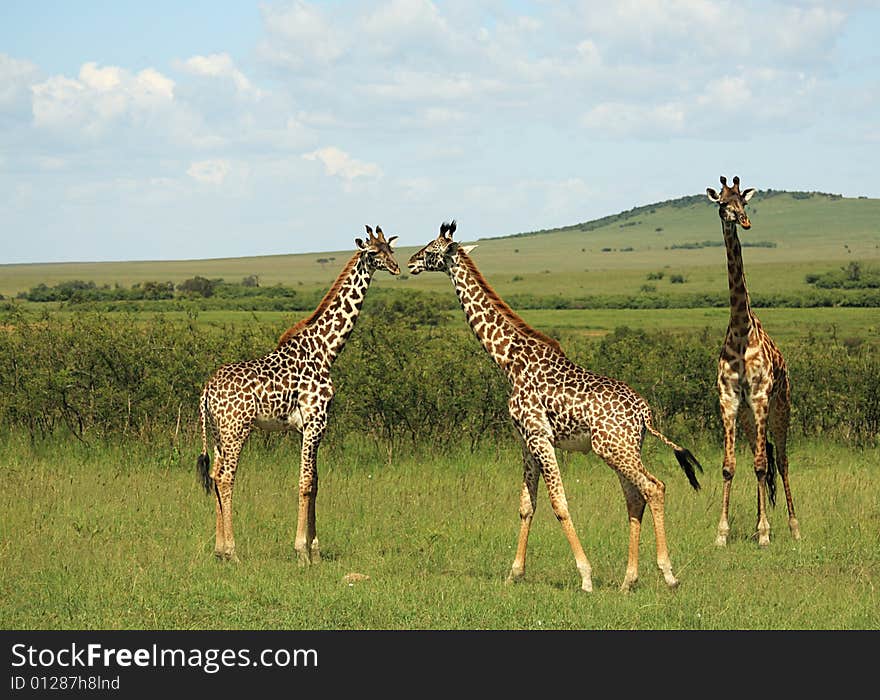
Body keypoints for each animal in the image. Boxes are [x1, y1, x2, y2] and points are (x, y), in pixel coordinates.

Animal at [198, 224, 400, 564]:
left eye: (391, 249)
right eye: (373, 252)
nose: (397, 267)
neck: (325, 350)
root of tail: (207, 390)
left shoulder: (311, 426)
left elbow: (316, 482)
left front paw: (314, 550)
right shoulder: (315, 421)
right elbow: (305, 482)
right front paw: (301, 551)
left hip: (217, 431)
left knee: (214, 475)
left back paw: (217, 549)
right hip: (236, 429)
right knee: (226, 478)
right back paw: (232, 551)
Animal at [410, 219, 704, 592]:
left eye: (431, 250)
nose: (411, 262)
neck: (508, 360)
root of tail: (645, 413)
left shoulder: (540, 437)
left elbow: (559, 504)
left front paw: (586, 576)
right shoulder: (525, 440)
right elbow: (526, 504)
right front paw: (514, 573)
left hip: (614, 448)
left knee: (655, 487)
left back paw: (668, 574)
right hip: (622, 449)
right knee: (635, 497)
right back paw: (628, 580)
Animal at [704, 176, 800, 548]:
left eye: (742, 202)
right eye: (723, 203)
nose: (743, 221)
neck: (742, 330)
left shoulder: (759, 398)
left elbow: (762, 463)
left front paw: (764, 533)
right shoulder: (729, 400)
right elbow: (730, 466)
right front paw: (722, 533)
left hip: (780, 408)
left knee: (781, 461)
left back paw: (792, 527)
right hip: (748, 417)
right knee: (762, 459)